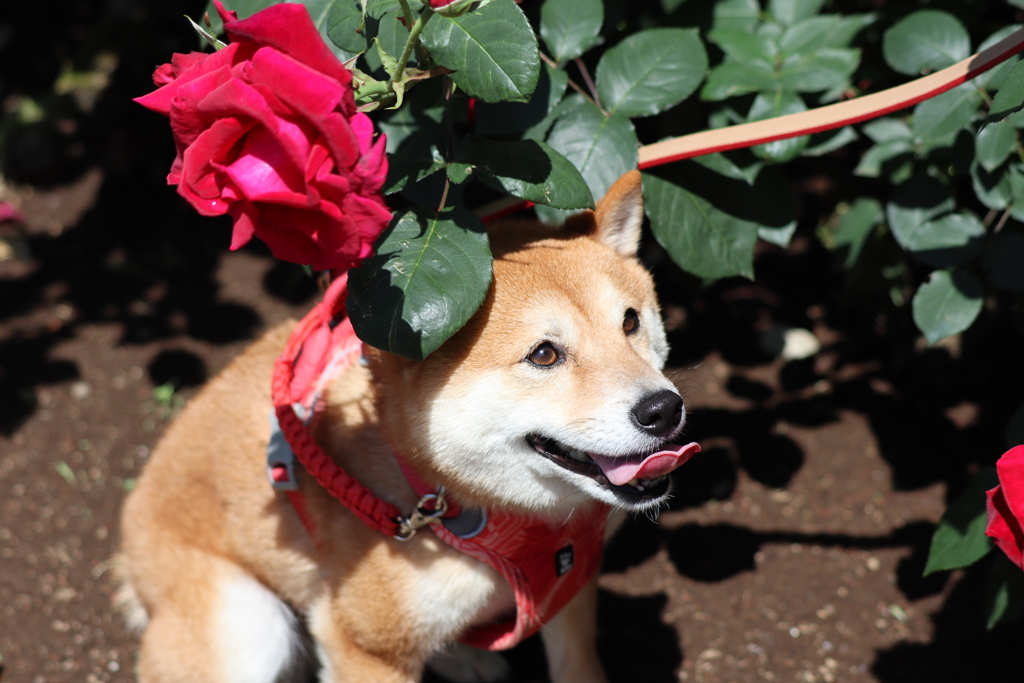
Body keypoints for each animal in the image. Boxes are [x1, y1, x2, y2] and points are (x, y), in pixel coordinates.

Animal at [117, 169, 696, 683]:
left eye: (630, 321)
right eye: (544, 355)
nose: (663, 409)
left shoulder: (570, 590)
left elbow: (578, 668)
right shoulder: (366, 645)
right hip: (250, 632)